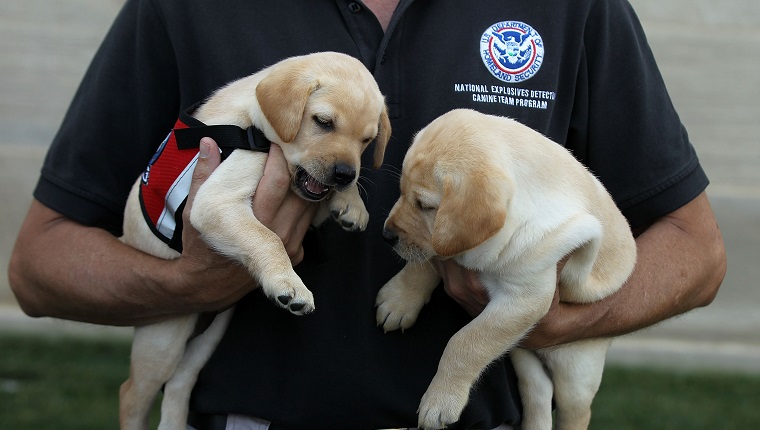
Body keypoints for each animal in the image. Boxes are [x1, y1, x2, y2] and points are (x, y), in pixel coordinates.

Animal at [122, 53, 392, 430]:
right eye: (323, 122)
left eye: (367, 140)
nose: (344, 175)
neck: (254, 126)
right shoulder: (213, 202)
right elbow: (267, 238)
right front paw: (289, 285)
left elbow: (318, 199)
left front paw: (350, 202)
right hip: (164, 335)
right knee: (133, 395)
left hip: (210, 335)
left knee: (181, 381)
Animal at [378, 109, 636, 428]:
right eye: (402, 192)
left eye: (425, 205)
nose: (387, 235)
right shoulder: (445, 245)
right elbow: (430, 257)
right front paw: (400, 300)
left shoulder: (524, 298)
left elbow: (466, 342)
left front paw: (440, 400)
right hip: (523, 354)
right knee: (538, 392)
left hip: (577, 372)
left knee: (574, 410)